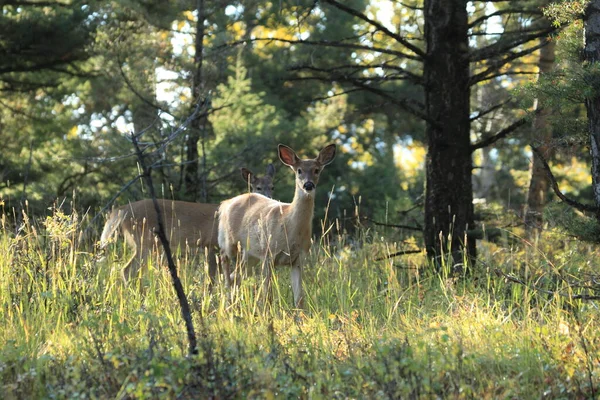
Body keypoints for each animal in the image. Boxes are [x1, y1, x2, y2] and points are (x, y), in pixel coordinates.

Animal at [99, 164, 276, 282]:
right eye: (258, 187)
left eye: (272, 186)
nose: (270, 199)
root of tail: (123, 210)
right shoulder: (211, 244)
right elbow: (212, 278)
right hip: (145, 241)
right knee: (126, 270)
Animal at [218, 145, 338, 310]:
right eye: (299, 170)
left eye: (317, 170)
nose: (308, 185)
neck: (289, 226)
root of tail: (225, 203)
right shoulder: (268, 254)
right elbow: (268, 297)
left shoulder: (298, 258)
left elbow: (299, 299)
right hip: (229, 241)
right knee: (223, 259)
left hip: (250, 254)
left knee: (236, 276)